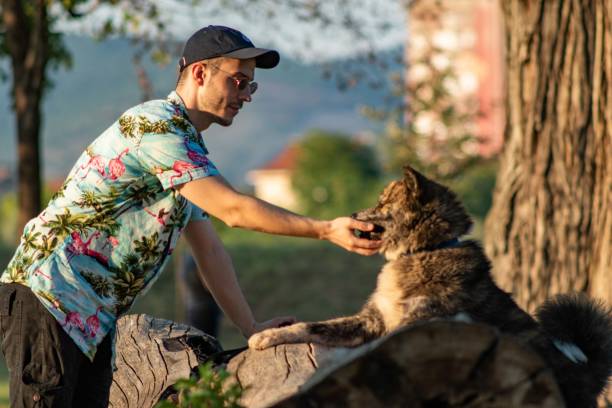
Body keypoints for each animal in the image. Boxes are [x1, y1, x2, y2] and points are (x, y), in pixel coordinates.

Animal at [250, 166, 612, 408]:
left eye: (383, 204)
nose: (352, 213)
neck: (424, 250)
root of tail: (589, 371)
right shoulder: (370, 320)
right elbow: (312, 326)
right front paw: (266, 336)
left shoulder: (416, 322)